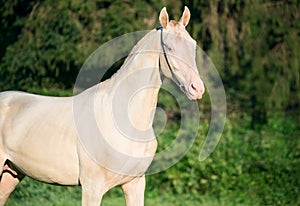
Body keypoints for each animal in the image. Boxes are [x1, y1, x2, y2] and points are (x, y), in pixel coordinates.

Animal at [0, 6, 204, 206]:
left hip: (11, 174)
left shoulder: (135, 184)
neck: (124, 120)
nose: (197, 88)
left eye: (193, 45)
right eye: (169, 47)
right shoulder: (92, 188)